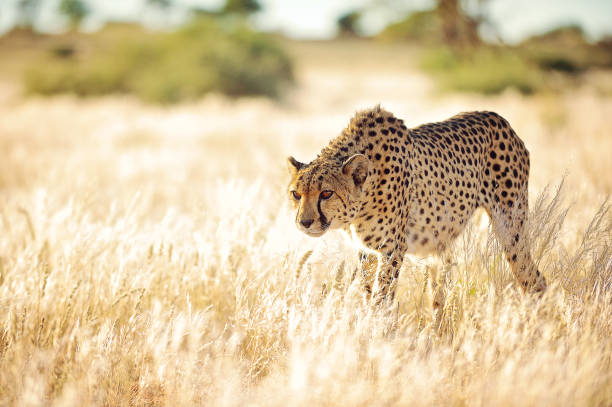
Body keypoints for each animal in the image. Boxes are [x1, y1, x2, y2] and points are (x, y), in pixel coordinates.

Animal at [290, 105, 548, 302]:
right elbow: (368, 291)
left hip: (510, 227)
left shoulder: (392, 248)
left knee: (534, 278)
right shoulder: (367, 251)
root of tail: (498, 118)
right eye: (296, 194)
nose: (305, 222)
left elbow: (382, 296)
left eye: (326, 193)